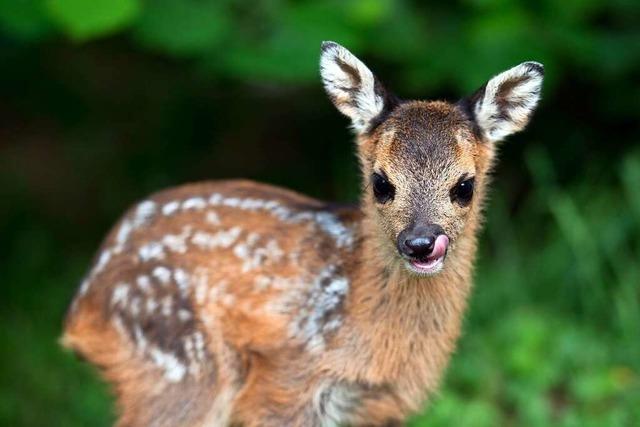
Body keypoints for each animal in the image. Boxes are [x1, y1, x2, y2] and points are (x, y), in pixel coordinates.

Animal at [62, 41, 544, 427]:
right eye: (381, 183)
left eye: (465, 186)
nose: (421, 242)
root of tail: (84, 303)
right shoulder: (283, 386)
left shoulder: (375, 408)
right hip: (180, 367)